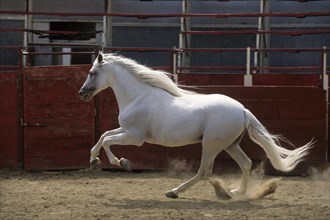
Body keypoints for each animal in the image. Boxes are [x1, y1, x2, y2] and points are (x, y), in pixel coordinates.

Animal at [78, 53, 314, 199]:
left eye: (92, 73)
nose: (81, 93)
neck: (138, 96)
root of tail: (242, 110)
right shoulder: (125, 130)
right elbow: (103, 136)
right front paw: (93, 160)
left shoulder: (135, 137)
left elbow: (107, 141)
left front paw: (121, 162)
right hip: (230, 145)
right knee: (245, 164)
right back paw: (236, 192)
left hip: (211, 145)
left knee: (204, 171)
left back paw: (178, 191)